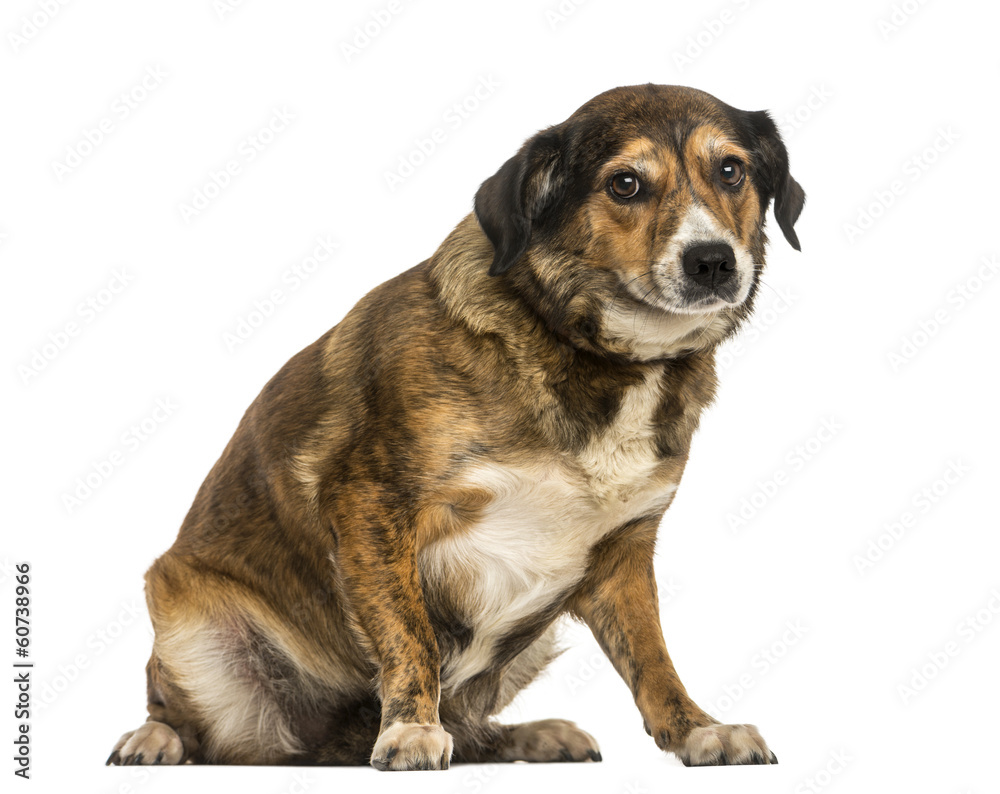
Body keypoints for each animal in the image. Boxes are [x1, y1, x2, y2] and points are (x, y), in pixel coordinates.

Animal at [105, 85, 804, 768]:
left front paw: (696, 729)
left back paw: (528, 736)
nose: (712, 261)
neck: (599, 357)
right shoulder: (371, 504)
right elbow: (409, 634)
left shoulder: (623, 554)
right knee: (193, 723)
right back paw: (157, 739)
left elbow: (654, 658)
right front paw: (411, 727)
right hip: (185, 616)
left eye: (732, 171)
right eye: (625, 184)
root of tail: (321, 748)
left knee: (472, 727)